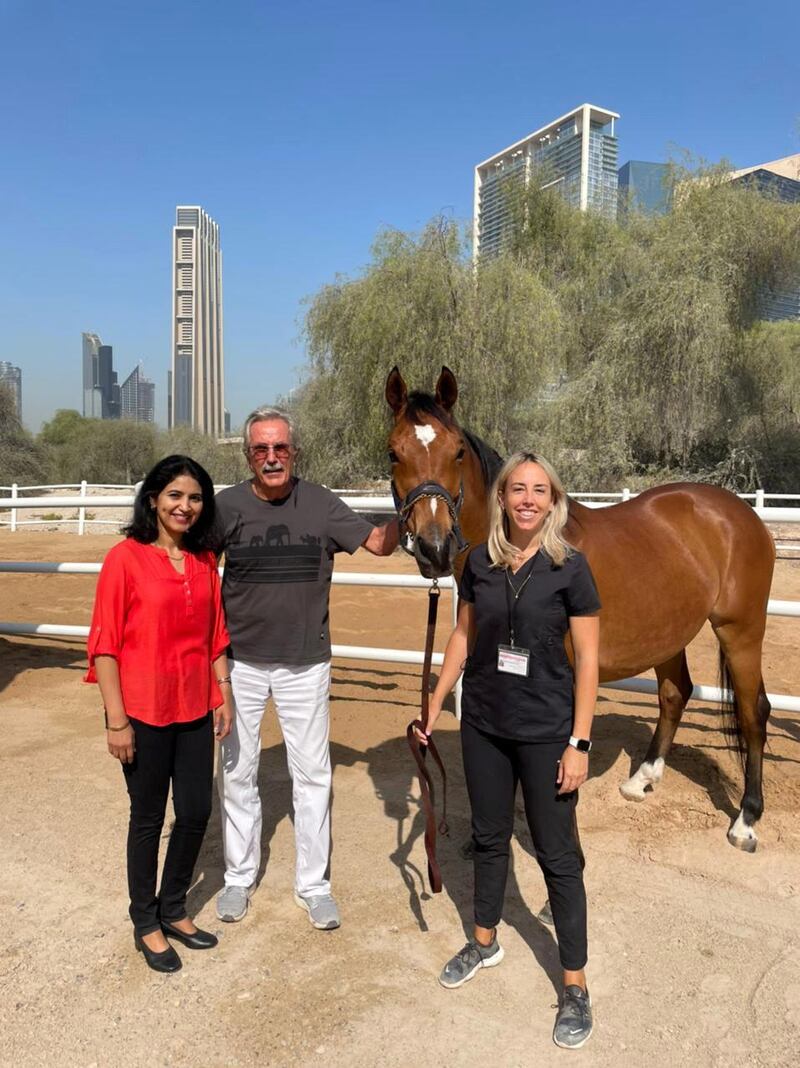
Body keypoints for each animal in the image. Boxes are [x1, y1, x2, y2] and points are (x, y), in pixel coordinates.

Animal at [386, 367, 773, 850]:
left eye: (457, 451)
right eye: (393, 453)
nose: (434, 548)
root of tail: (739, 512)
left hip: (741, 630)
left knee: (753, 711)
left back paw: (746, 820)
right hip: (669, 633)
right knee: (674, 694)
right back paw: (641, 780)